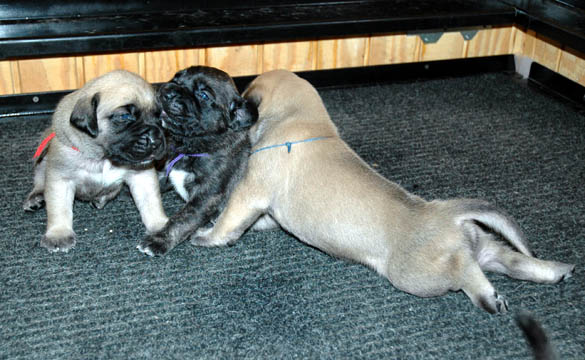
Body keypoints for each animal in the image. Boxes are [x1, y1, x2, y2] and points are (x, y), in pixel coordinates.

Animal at [138, 65, 256, 256]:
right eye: (176, 78)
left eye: (203, 95)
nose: (167, 91)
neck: (189, 146)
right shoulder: (167, 172)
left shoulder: (206, 196)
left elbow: (183, 219)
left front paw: (158, 240)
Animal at [195, 69, 576, 312]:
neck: (300, 118)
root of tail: (443, 212)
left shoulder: (250, 193)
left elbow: (229, 219)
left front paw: (208, 235)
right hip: (482, 245)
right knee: (509, 259)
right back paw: (556, 270)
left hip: (417, 274)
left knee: (466, 272)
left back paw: (489, 297)